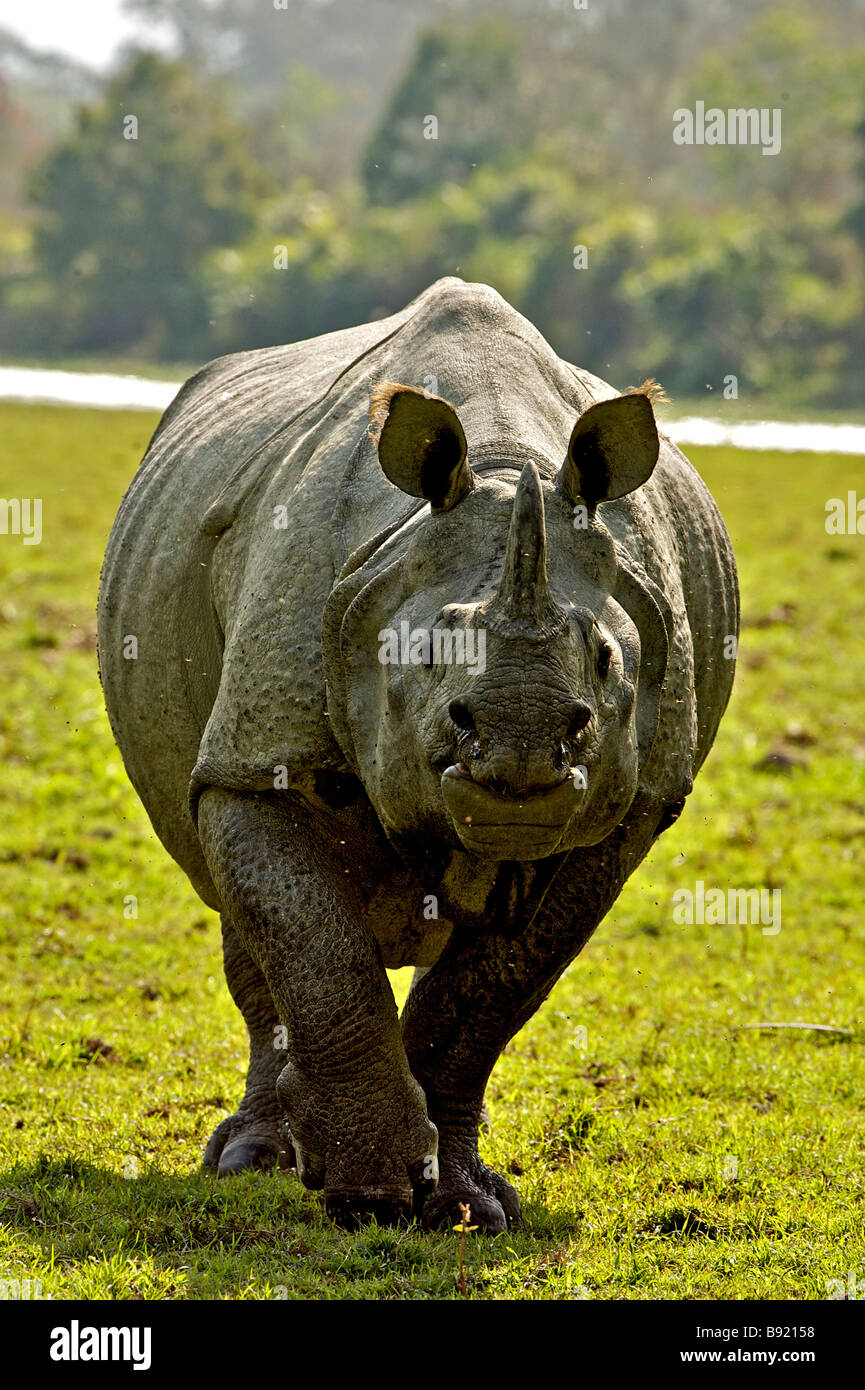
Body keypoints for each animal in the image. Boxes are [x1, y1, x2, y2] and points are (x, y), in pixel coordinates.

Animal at [98, 277, 738, 1232]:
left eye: (606, 658)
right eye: (426, 657)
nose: (521, 748)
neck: (508, 461)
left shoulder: (632, 808)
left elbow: (490, 989)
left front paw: (461, 1206)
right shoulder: (260, 754)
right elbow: (317, 951)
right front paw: (368, 1192)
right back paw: (254, 1159)